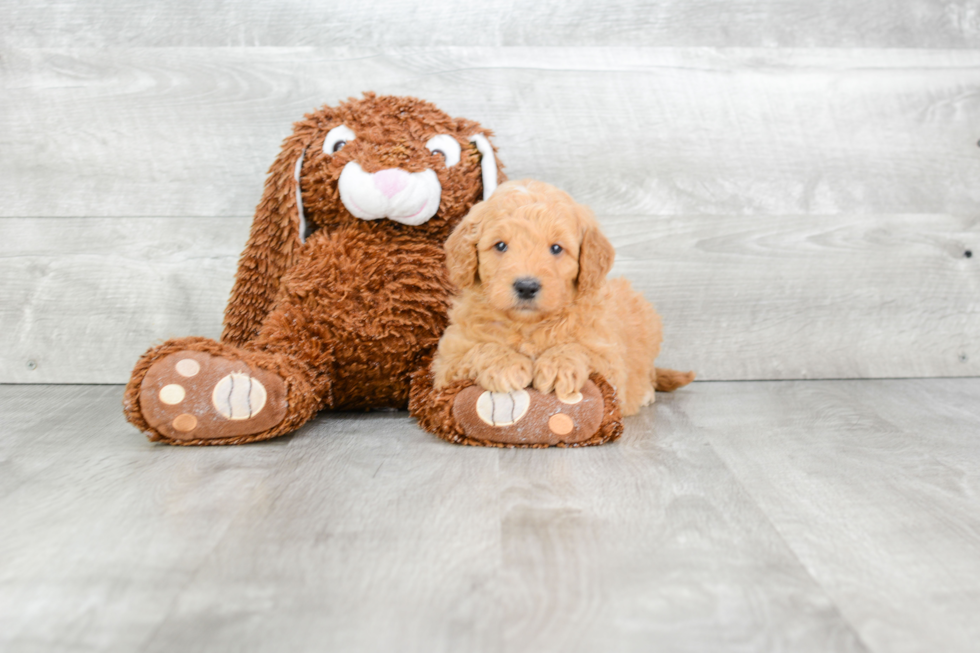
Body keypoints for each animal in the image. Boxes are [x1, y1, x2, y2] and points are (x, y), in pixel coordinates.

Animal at [432, 180, 692, 412]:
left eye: (556, 248)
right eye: (500, 246)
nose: (526, 286)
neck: (528, 325)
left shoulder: (609, 359)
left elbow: (580, 349)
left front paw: (558, 366)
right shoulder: (447, 361)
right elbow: (480, 349)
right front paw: (505, 364)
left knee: (647, 371)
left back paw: (646, 391)